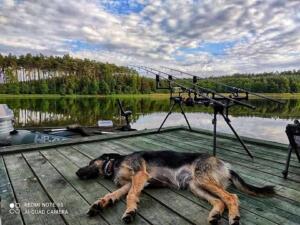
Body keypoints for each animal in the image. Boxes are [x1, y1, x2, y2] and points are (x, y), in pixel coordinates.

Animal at [76, 150, 276, 224]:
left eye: (89, 162)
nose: (77, 173)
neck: (114, 164)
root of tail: (225, 165)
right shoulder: (129, 184)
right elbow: (113, 194)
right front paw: (99, 204)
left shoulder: (140, 176)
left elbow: (130, 196)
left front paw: (130, 211)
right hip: (195, 185)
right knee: (219, 201)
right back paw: (214, 216)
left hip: (202, 179)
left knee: (231, 197)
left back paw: (233, 218)